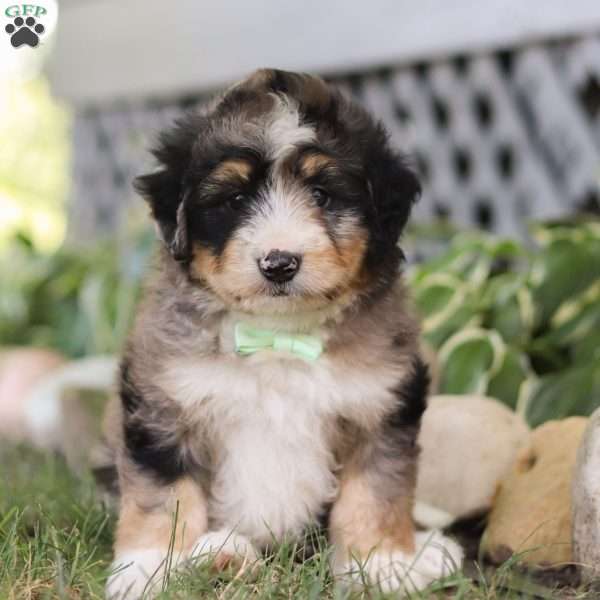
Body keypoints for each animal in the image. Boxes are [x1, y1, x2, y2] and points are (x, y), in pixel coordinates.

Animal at [106, 68, 464, 596]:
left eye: (321, 195)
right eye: (235, 200)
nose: (279, 263)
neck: (277, 335)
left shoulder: (381, 406)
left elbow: (375, 493)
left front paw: (382, 565)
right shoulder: (163, 403)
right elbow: (163, 497)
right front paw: (147, 570)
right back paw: (224, 555)